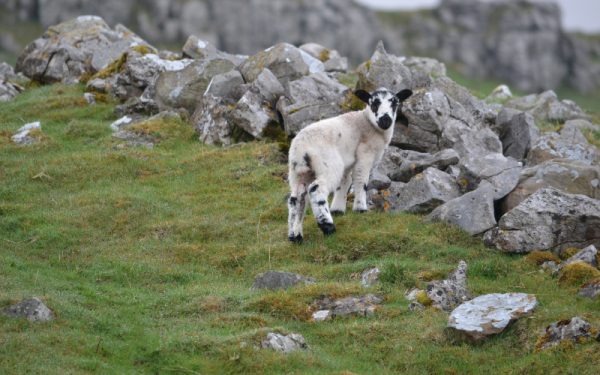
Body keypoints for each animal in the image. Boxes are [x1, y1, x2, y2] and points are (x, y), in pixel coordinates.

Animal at [286, 86, 412, 242]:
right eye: (374, 103)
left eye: (395, 103)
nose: (385, 120)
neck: (368, 123)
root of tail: (300, 148)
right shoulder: (365, 154)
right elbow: (361, 182)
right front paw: (360, 209)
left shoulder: (347, 164)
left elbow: (344, 184)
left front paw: (338, 209)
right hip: (329, 164)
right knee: (316, 189)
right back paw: (327, 226)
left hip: (298, 173)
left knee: (296, 199)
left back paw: (295, 236)